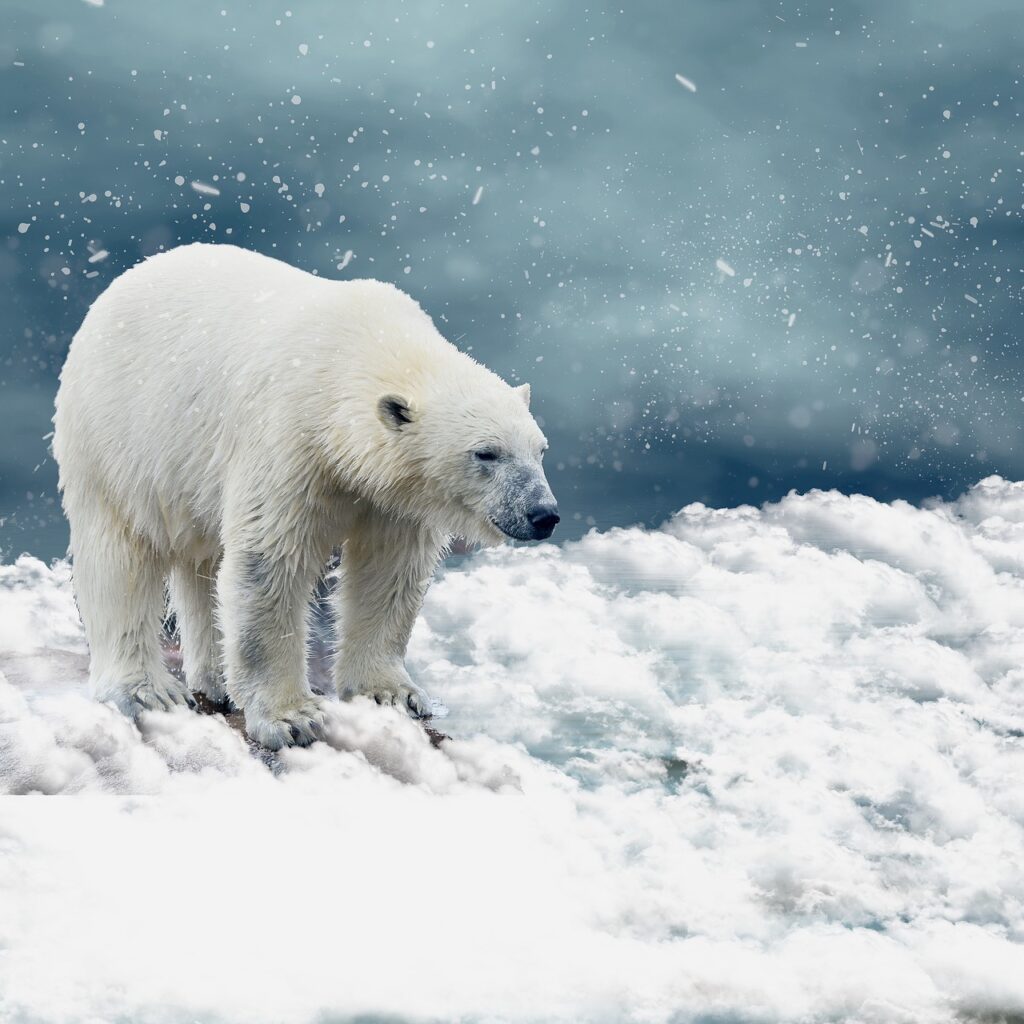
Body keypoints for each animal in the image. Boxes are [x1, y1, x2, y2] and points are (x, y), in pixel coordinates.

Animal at [51, 243, 557, 749]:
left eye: (540, 450)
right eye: (486, 453)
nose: (543, 514)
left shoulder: (392, 497)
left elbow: (389, 572)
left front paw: (392, 692)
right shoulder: (287, 441)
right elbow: (269, 564)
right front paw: (292, 718)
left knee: (203, 563)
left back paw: (215, 680)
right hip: (119, 442)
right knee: (119, 557)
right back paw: (148, 690)